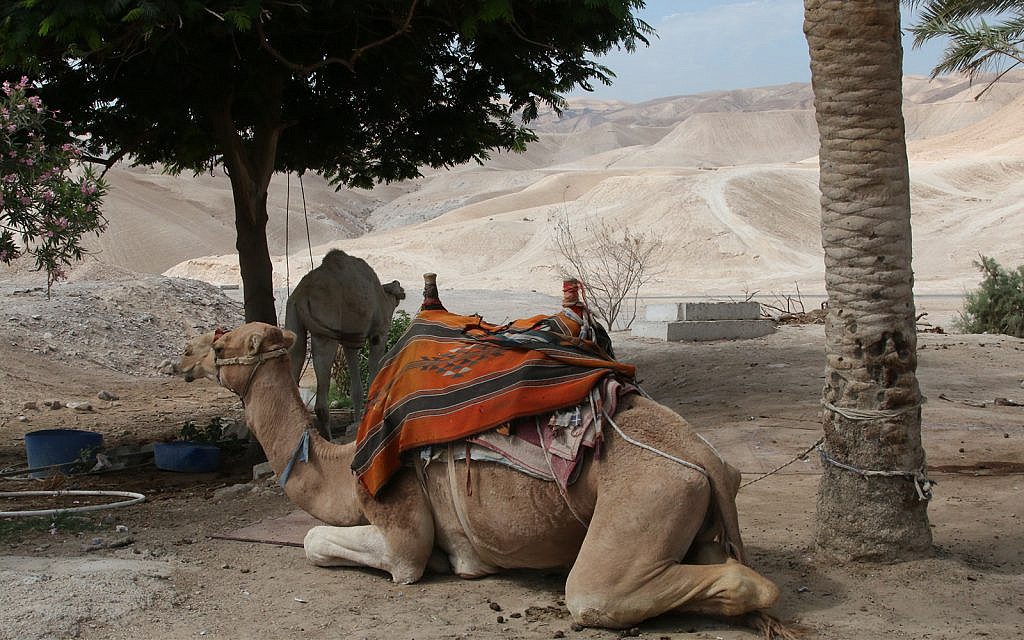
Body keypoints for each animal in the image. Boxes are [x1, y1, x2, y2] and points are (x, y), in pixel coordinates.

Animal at [198, 321, 784, 633]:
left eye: (220, 346)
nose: (184, 358)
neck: (341, 466)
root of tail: (705, 458)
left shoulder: (398, 514)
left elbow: (321, 542)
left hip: (651, 492)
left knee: (599, 592)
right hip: (691, 503)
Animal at [284, 249, 405, 436]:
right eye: (398, 287)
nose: (402, 290)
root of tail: (302, 296)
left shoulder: (350, 342)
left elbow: (356, 388)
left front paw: (357, 423)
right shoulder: (379, 334)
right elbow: (373, 373)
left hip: (293, 318)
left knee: (295, 357)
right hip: (326, 327)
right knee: (321, 386)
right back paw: (328, 438)